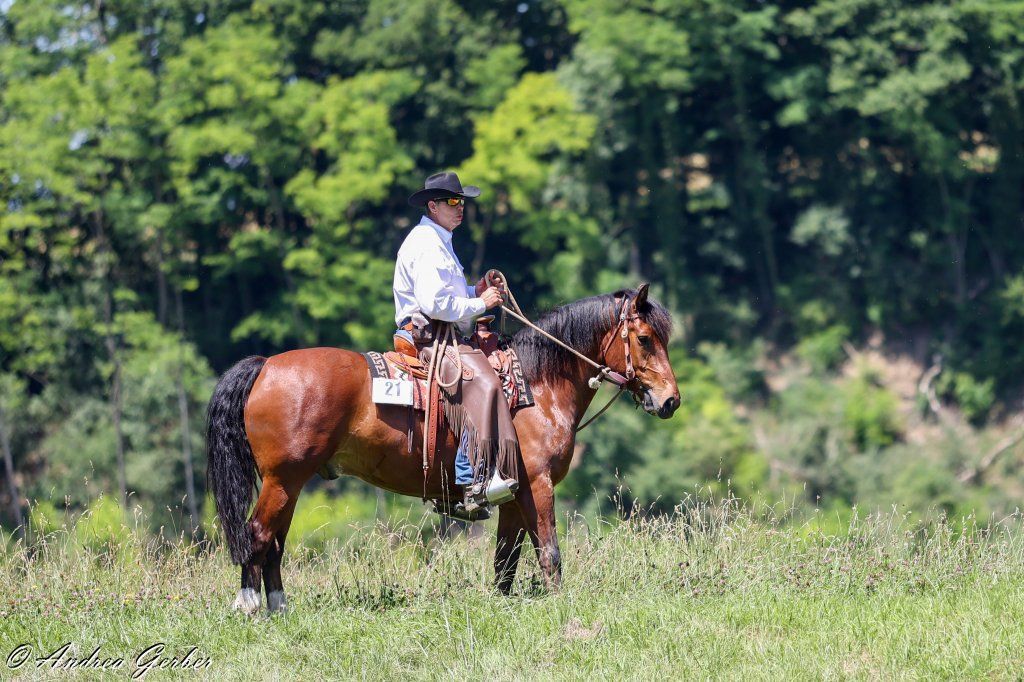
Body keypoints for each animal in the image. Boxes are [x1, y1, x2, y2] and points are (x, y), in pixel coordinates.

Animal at [206, 283, 680, 614]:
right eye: (643, 339)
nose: (670, 401)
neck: (537, 386)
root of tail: (265, 366)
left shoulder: (512, 494)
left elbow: (505, 561)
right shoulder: (538, 484)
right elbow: (549, 551)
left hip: (290, 483)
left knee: (274, 541)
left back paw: (279, 606)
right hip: (283, 479)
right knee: (257, 534)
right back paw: (250, 605)